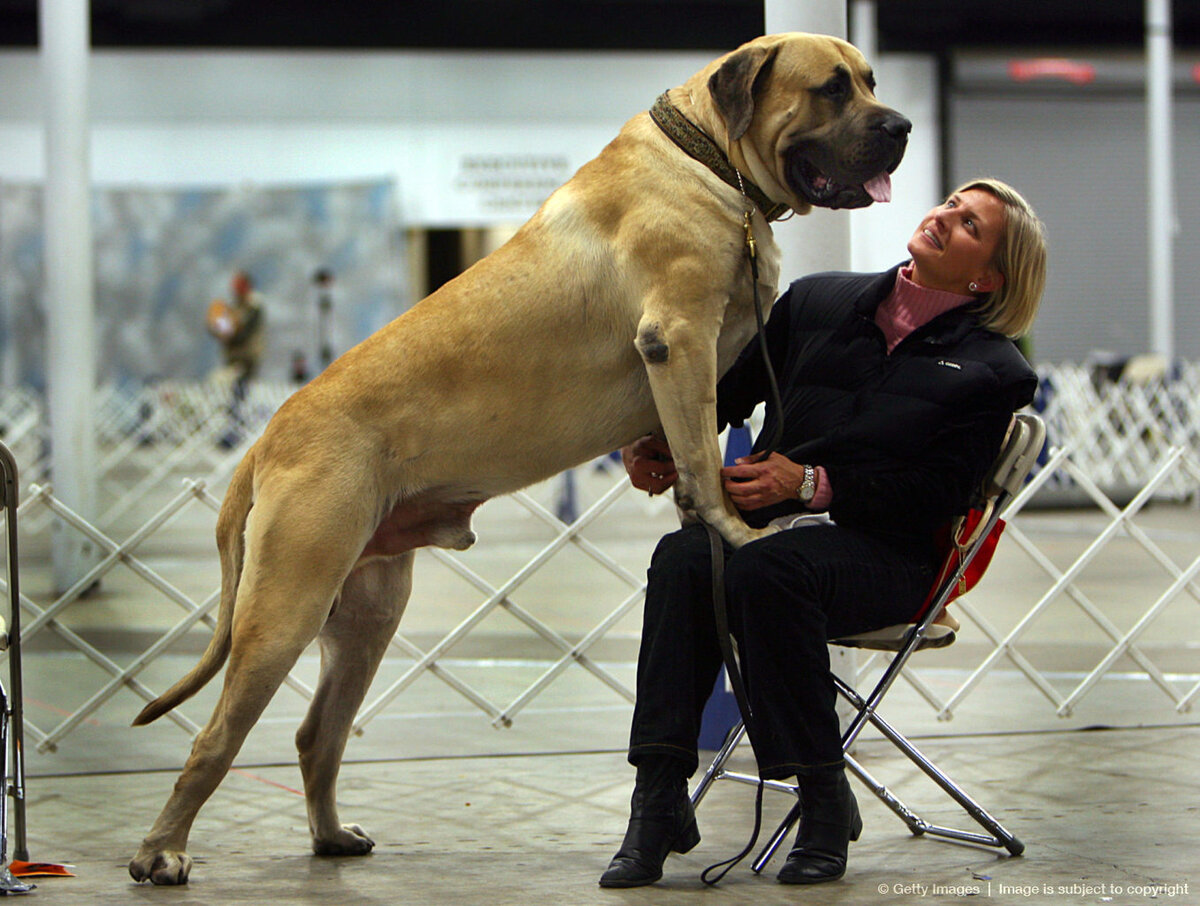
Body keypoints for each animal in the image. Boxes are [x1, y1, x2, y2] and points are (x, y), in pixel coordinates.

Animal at [129, 31, 907, 883]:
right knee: (214, 739)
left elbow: (689, 453)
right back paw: (161, 852)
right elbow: (703, 459)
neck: (709, 160)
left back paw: (330, 835)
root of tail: (269, 434)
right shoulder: (679, 340)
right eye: (832, 89)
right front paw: (735, 530)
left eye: (872, 80)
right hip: (285, 606)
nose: (900, 125)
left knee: (317, 734)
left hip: (366, 614)